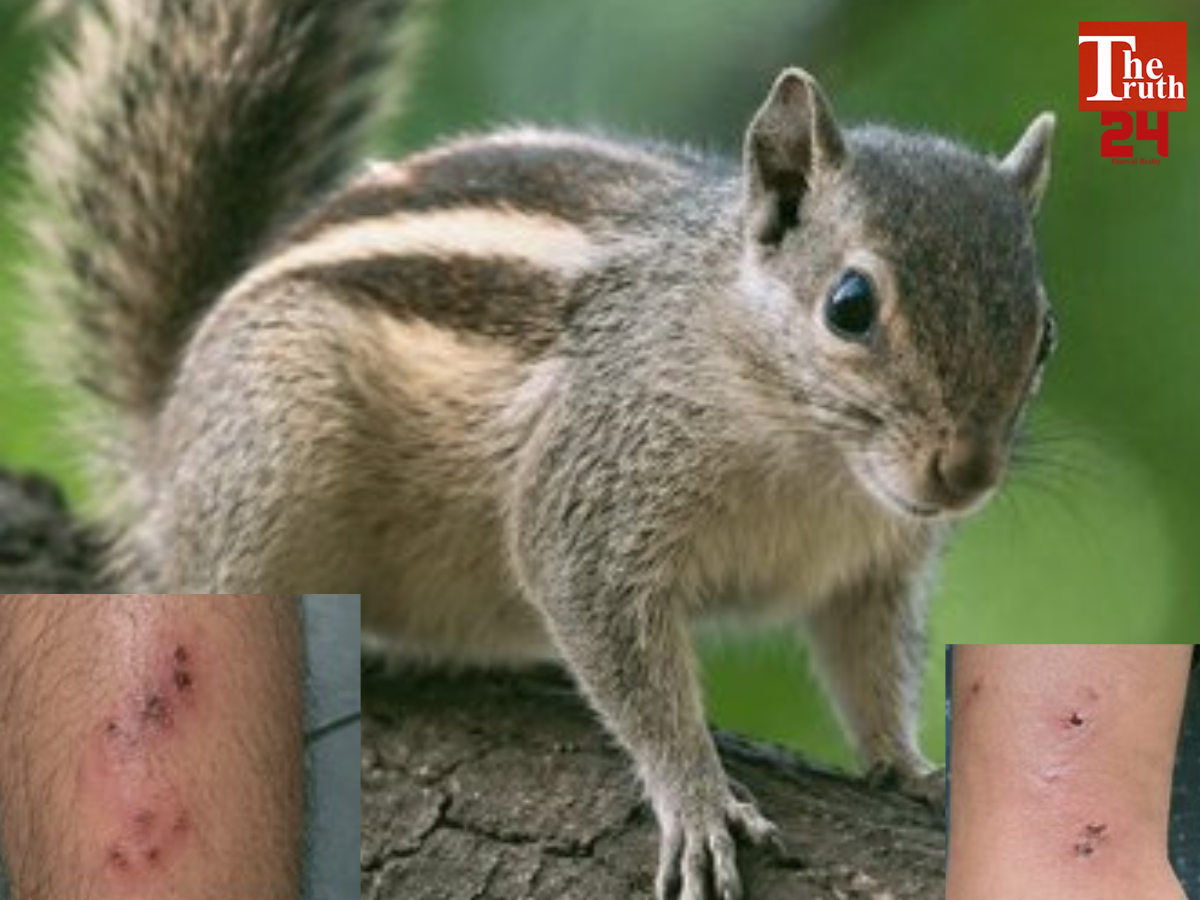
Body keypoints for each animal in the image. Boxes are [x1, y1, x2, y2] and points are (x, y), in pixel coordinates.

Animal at [19, 0, 1056, 897]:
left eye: (1045, 334)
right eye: (849, 305)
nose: (965, 475)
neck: (816, 462)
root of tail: (165, 447)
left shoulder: (873, 569)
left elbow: (872, 666)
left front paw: (911, 767)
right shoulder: (594, 482)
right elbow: (619, 648)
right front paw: (698, 799)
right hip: (270, 445)